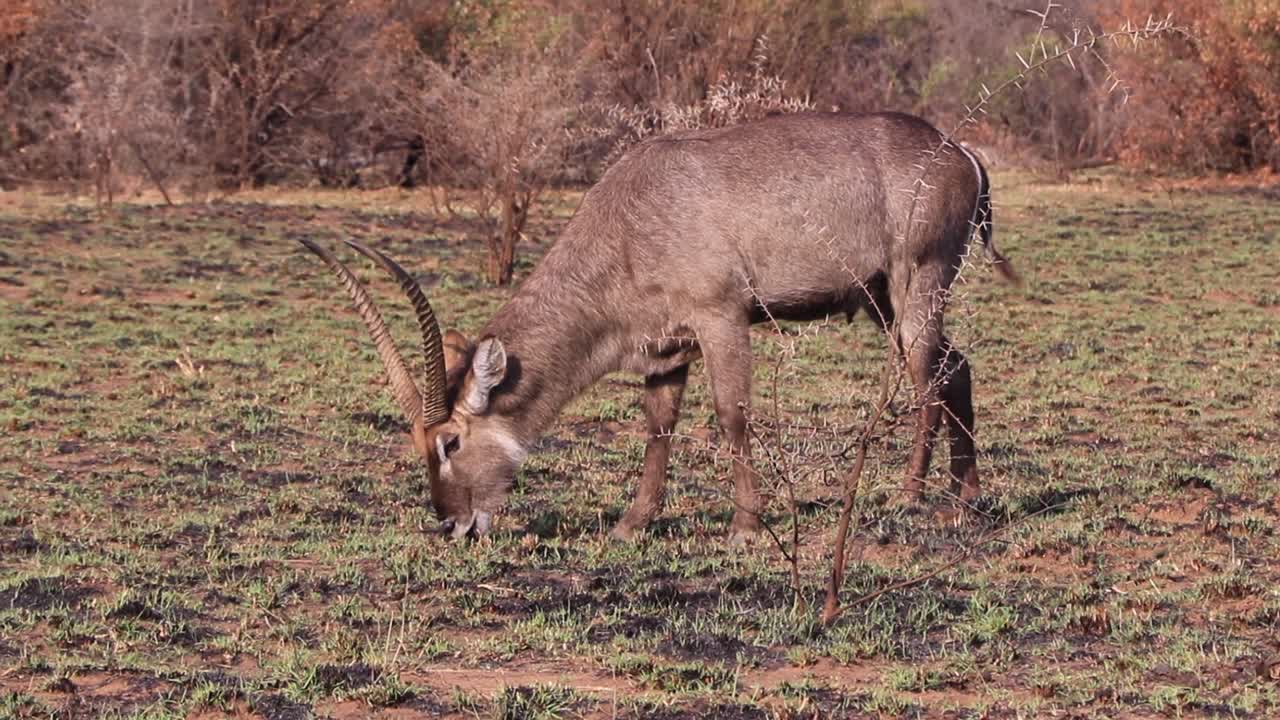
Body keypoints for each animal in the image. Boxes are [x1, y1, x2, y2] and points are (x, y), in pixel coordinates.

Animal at [297, 112, 1018, 542]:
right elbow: (658, 425)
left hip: (916, 281)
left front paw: (745, 526)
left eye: (449, 441)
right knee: (956, 367)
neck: (632, 215)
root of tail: (960, 152)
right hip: (880, 300)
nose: (451, 525)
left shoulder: (722, 317)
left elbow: (731, 416)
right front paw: (633, 522)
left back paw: (912, 495)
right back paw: (966, 498)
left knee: (930, 378)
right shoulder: (666, 348)